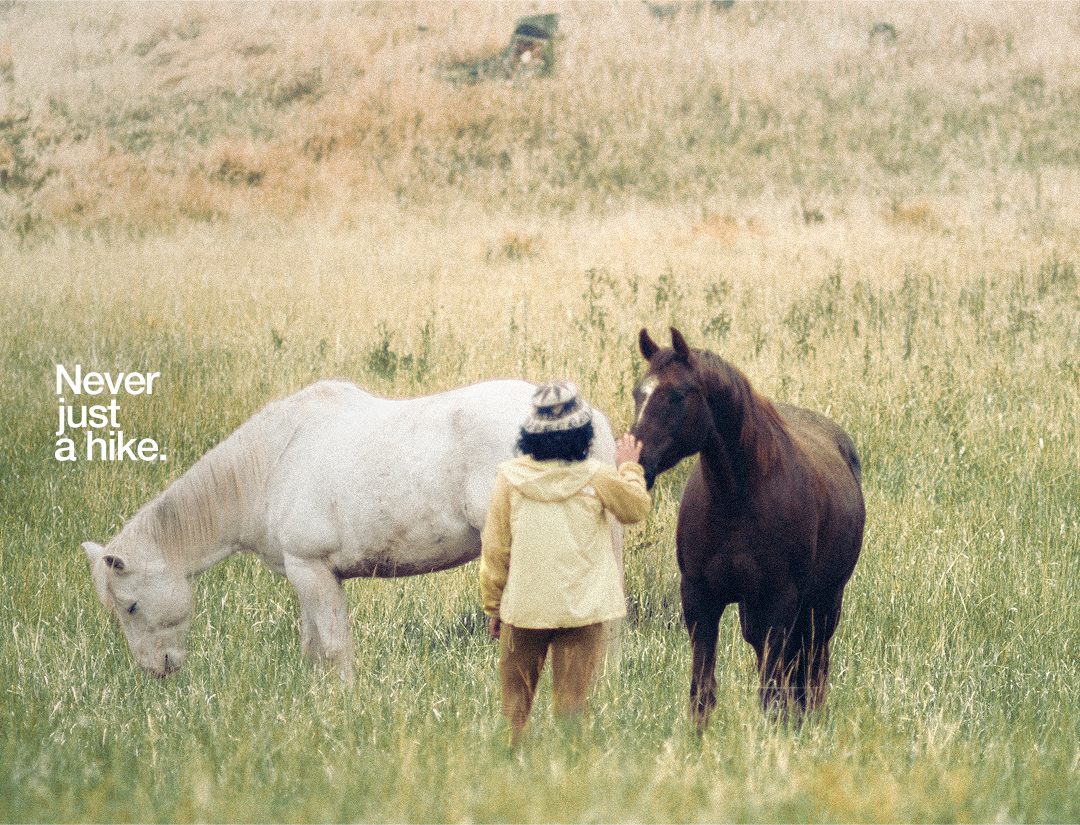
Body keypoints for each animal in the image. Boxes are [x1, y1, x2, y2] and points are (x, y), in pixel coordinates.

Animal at [82, 379, 622, 681]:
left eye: (130, 606)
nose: (156, 671)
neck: (273, 461)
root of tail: (585, 419)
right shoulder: (308, 575)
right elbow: (314, 647)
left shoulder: (312, 570)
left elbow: (335, 648)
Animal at [632, 328, 864, 730]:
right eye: (637, 393)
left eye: (677, 395)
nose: (634, 460)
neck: (737, 499)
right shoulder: (700, 600)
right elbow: (703, 691)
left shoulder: (780, 600)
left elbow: (772, 691)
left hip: (824, 603)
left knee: (813, 669)